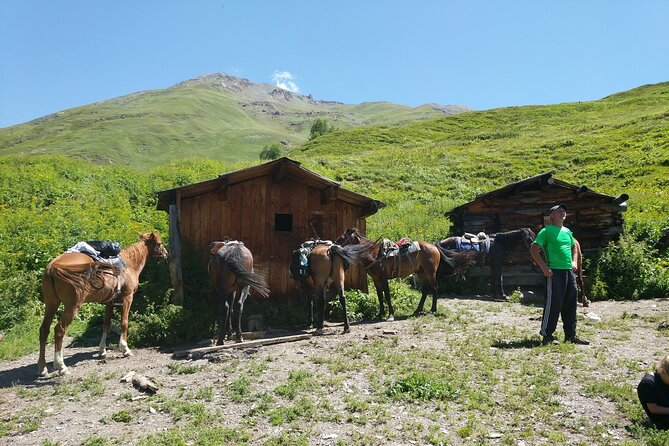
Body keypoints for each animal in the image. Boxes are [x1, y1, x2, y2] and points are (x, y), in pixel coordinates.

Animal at [38, 233, 168, 376]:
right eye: (160, 243)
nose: (166, 254)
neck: (129, 264)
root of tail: (53, 267)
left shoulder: (109, 302)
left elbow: (106, 324)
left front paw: (102, 351)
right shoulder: (127, 297)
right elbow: (124, 323)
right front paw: (125, 349)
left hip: (51, 303)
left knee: (44, 330)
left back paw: (42, 367)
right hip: (71, 307)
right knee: (59, 330)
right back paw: (61, 366)